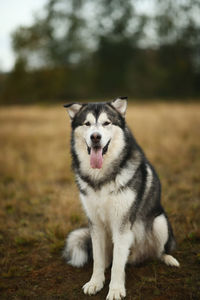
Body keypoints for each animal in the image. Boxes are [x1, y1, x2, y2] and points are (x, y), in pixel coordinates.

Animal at [63, 98, 180, 300]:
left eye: (106, 123)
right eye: (87, 124)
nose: (95, 137)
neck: (101, 177)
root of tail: (137, 256)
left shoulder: (122, 224)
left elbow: (118, 264)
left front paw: (116, 289)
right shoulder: (95, 224)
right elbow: (98, 260)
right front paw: (95, 282)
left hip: (159, 222)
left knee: (158, 251)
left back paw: (168, 258)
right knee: (106, 258)